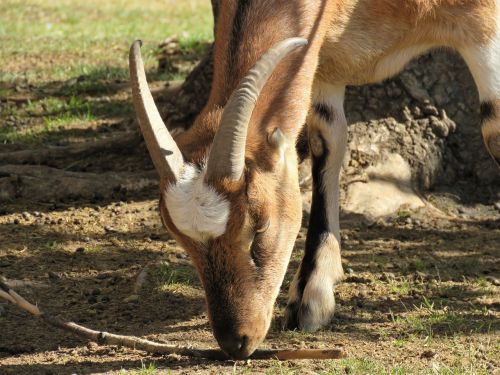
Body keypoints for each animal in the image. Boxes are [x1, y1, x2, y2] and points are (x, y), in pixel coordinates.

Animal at [130, 0, 500, 360]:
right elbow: (326, 142)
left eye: (258, 227)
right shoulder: (321, 63)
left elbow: (493, 128)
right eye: (181, 241)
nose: (236, 341)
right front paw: (311, 295)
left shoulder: (483, 24)